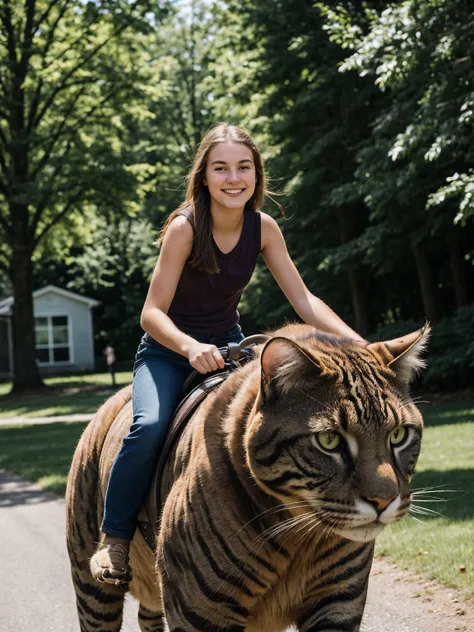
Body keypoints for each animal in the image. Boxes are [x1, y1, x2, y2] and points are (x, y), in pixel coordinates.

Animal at [65, 324, 428, 628]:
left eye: (398, 435)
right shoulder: (201, 610)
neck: (300, 536)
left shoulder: (338, 602)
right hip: (93, 591)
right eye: (330, 440)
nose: (383, 500)